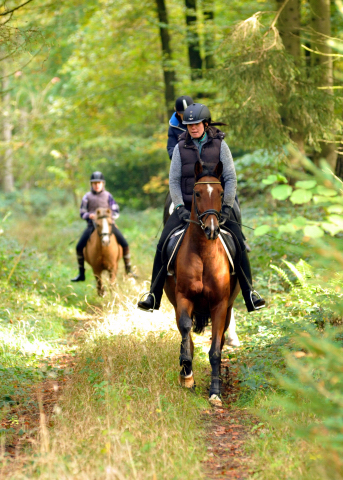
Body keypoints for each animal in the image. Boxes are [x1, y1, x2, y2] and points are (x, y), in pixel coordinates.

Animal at [165, 160, 241, 404]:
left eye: (220, 193)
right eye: (197, 193)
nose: (212, 229)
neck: (203, 253)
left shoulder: (220, 305)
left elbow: (216, 350)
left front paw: (215, 391)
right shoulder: (183, 298)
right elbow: (185, 332)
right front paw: (187, 374)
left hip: (228, 308)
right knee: (186, 335)